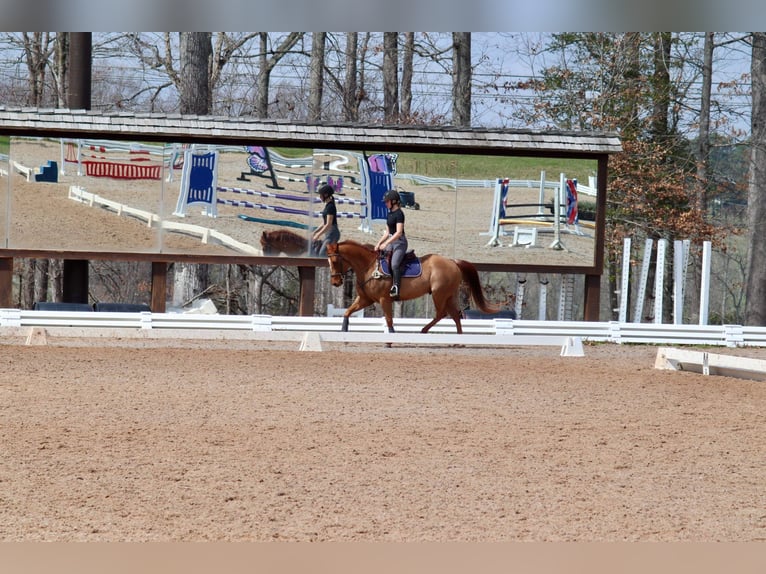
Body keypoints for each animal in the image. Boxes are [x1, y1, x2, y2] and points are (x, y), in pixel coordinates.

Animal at [328, 241, 500, 336]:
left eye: (335, 261)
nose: (335, 282)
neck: (369, 267)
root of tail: (452, 261)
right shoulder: (365, 299)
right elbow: (347, 312)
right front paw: (343, 329)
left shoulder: (384, 299)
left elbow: (389, 320)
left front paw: (391, 335)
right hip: (449, 295)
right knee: (456, 316)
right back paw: (458, 340)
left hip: (439, 294)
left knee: (442, 313)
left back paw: (424, 330)